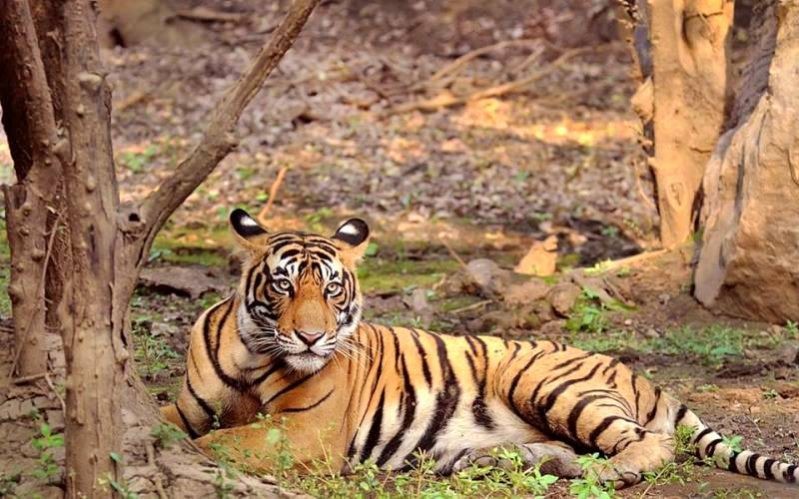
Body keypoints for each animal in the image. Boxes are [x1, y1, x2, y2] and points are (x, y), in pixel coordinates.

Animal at [161, 208, 799, 488]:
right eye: (285, 285)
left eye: (332, 288)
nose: (312, 336)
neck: (255, 354)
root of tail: (637, 373)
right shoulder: (189, 403)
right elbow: (178, 425)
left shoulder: (304, 431)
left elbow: (219, 442)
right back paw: (526, 462)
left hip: (547, 383)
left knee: (649, 443)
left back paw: (610, 474)